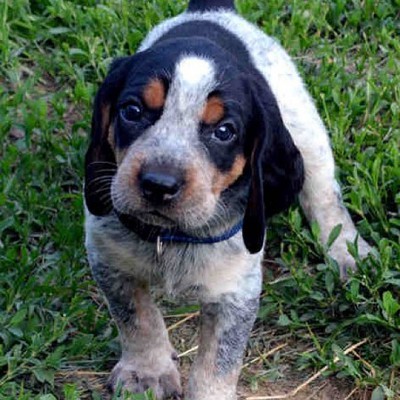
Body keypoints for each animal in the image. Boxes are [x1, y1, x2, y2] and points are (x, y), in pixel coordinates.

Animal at [83, 1, 368, 398]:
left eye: (224, 132)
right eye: (132, 111)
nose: (158, 183)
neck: (172, 236)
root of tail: (211, 9)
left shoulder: (237, 291)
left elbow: (217, 363)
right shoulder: (108, 258)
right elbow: (137, 318)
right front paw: (147, 372)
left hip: (306, 129)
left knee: (325, 196)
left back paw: (348, 252)